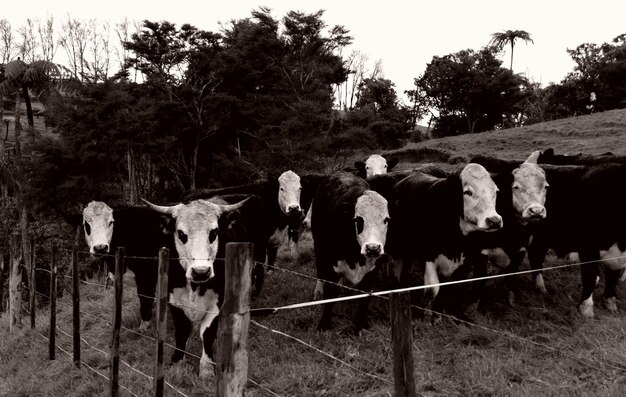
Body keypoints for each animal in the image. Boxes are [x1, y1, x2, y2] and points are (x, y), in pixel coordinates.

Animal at [80, 200, 176, 330]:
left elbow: (145, 299)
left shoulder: (146, 276)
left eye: (111, 222)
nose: (101, 247)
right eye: (86, 224)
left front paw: (144, 327)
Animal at [144, 195, 251, 378]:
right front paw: (177, 363)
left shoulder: (217, 303)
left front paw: (207, 368)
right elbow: (182, 331)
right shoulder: (174, 301)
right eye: (181, 234)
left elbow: (207, 333)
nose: (201, 271)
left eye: (214, 232)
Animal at [312, 172, 390, 332]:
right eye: (358, 219)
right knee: (320, 270)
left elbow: (364, 297)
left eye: (386, 219)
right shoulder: (332, 267)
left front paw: (361, 325)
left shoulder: (372, 271)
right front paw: (324, 324)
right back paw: (318, 291)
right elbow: (330, 295)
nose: (373, 248)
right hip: (318, 246)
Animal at [386, 162, 502, 316]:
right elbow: (432, 290)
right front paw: (427, 317)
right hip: (397, 247)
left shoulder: (466, 260)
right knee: (396, 267)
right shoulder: (428, 255)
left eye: (495, 191)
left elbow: (455, 288)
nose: (494, 220)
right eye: (467, 192)